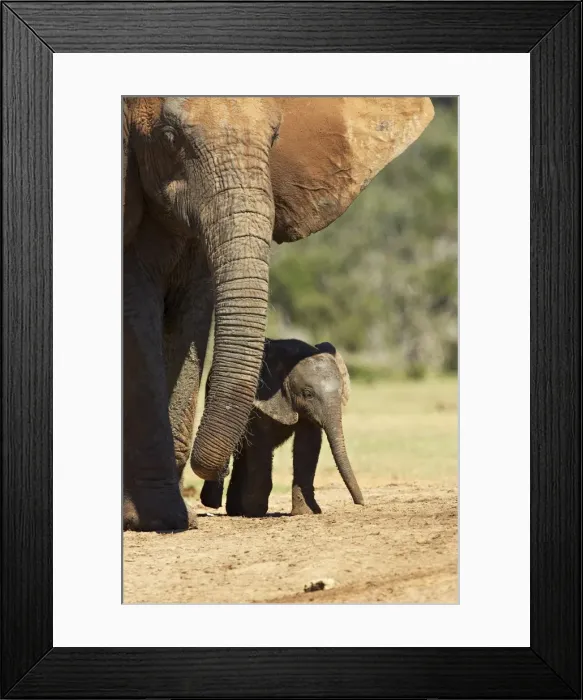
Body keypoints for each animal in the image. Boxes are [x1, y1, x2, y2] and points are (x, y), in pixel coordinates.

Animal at [199, 338, 363, 517]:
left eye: (341, 392)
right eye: (308, 394)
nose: (360, 503)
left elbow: (307, 445)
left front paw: (305, 512)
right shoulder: (260, 403)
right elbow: (260, 445)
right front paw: (255, 511)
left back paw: (236, 510)